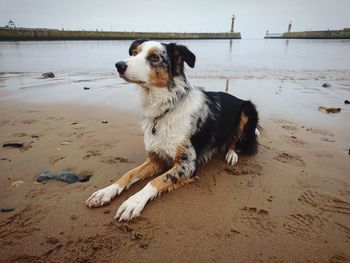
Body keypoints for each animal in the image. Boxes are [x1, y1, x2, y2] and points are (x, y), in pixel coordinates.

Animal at [86, 38, 258, 221]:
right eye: (135, 53)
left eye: (154, 57)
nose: (119, 65)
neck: (165, 109)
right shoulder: (155, 158)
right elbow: (129, 174)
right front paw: (106, 192)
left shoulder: (187, 164)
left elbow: (153, 182)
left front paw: (133, 202)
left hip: (248, 111)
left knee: (237, 141)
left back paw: (232, 154)